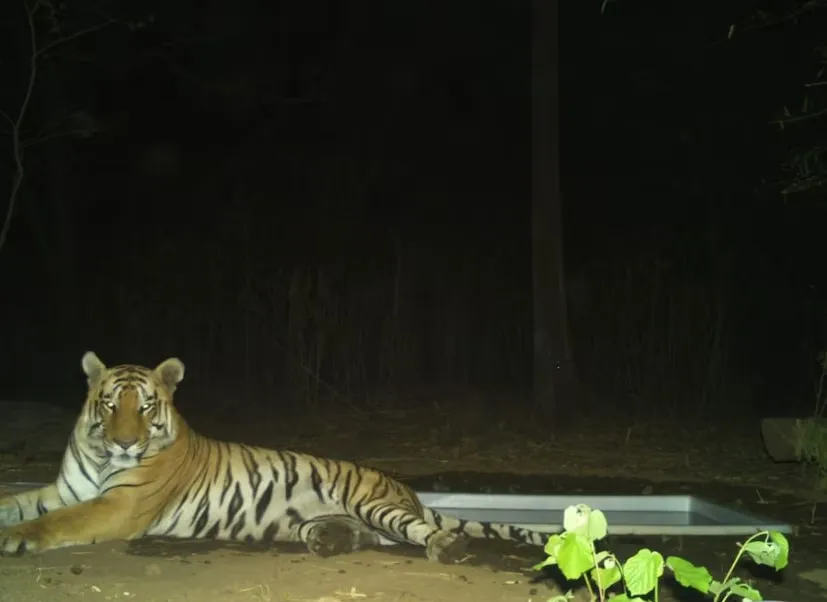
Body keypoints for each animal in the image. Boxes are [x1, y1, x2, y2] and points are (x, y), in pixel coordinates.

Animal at [0, 352, 550, 562]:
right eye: (112, 404)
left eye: (146, 406)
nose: (125, 443)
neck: (101, 458)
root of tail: (406, 488)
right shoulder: (64, 489)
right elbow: (20, 501)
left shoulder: (118, 505)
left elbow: (56, 522)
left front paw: (15, 538)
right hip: (327, 520)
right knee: (363, 535)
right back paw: (332, 541)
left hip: (376, 504)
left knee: (420, 531)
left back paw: (447, 547)